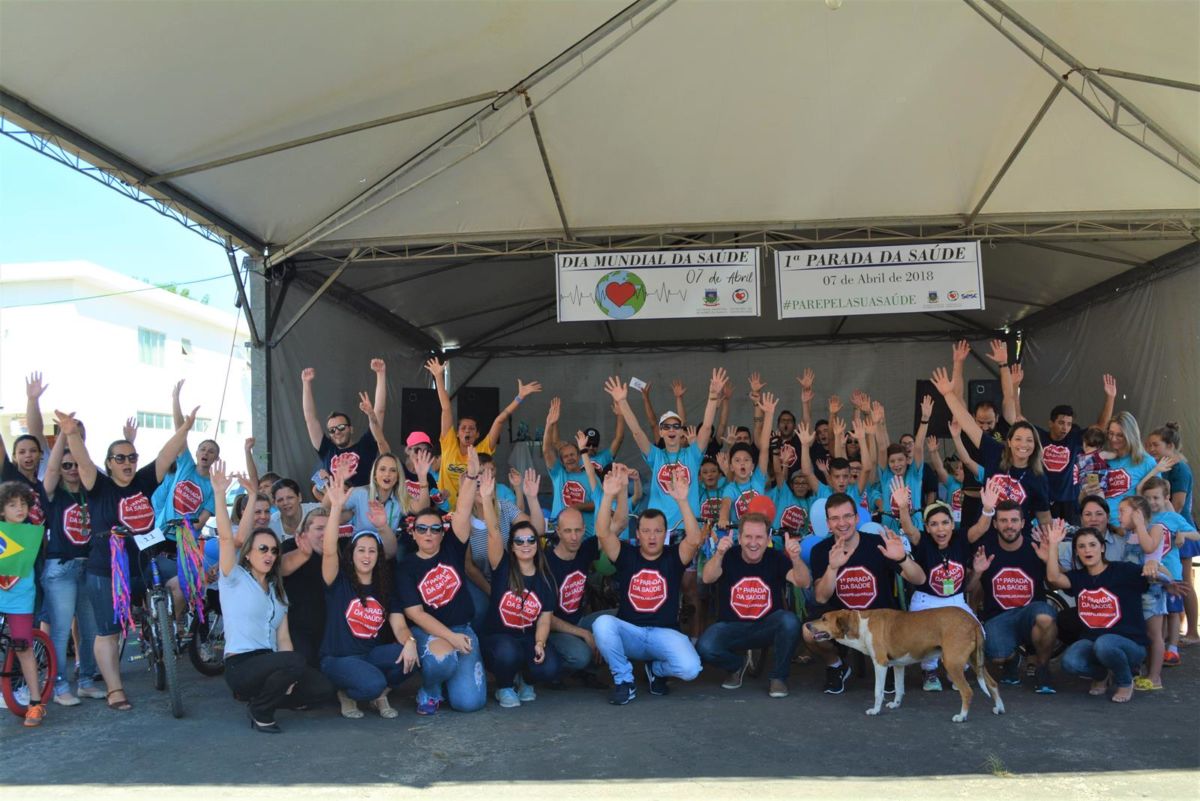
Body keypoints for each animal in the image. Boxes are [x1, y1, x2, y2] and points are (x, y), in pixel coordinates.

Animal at [806, 606, 1003, 719]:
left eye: (824, 618)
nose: (807, 625)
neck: (860, 625)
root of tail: (973, 620)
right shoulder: (898, 665)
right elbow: (899, 689)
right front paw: (895, 704)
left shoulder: (880, 664)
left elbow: (878, 692)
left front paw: (875, 711)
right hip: (975, 661)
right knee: (993, 684)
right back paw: (999, 708)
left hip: (952, 663)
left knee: (967, 691)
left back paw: (961, 716)